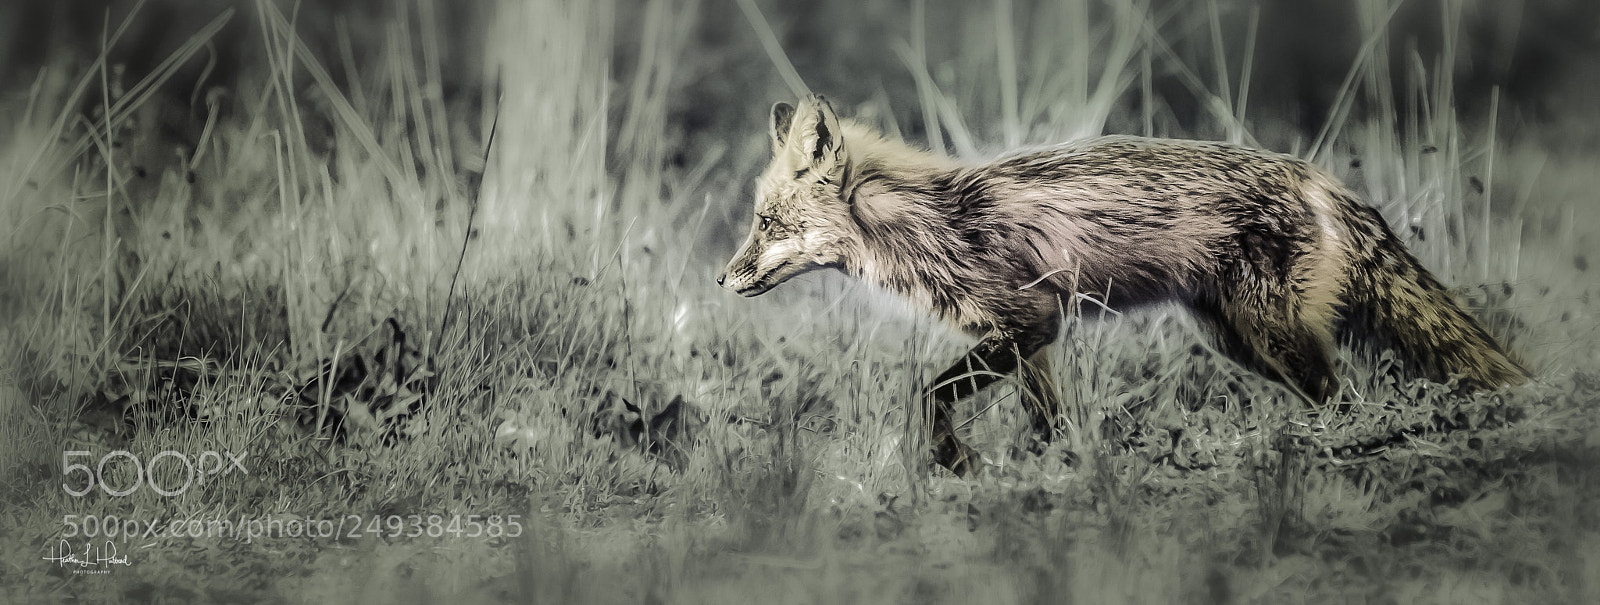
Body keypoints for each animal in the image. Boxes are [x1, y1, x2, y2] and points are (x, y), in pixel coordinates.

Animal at [715, 94, 1529, 477]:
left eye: (765, 222)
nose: (722, 279)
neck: (928, 220)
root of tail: (1320, 177)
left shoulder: (1026, 322)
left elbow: (927, 394)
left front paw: (956, 462)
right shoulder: (1032, 339)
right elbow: (1049, 423)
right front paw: (1045, 473)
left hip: (1277, 338)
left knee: (1346, 397)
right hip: (1240, 341)